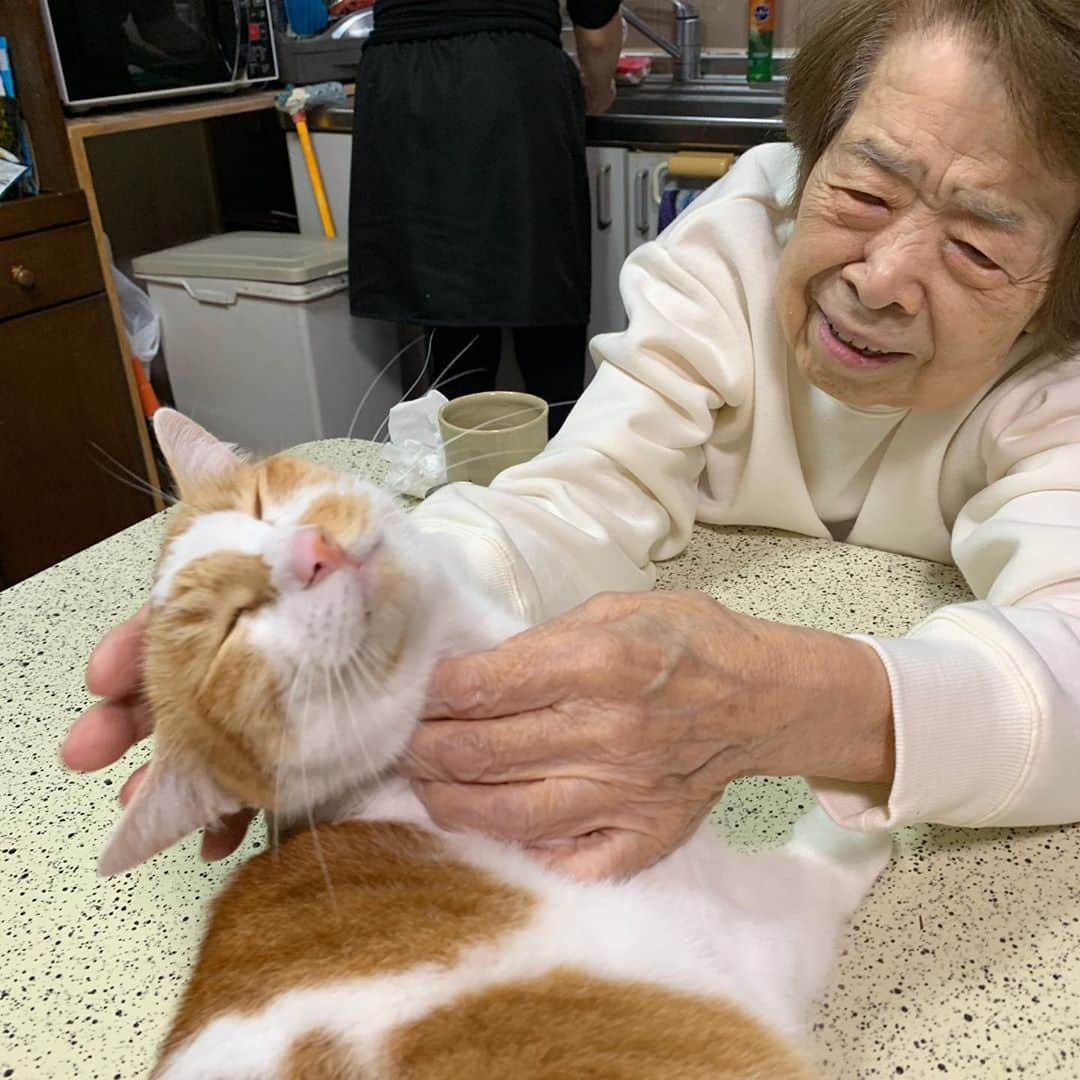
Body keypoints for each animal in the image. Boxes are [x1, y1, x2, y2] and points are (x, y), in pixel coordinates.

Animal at [97, 406, 889, 1080]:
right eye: (230, 629)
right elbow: (830, 857)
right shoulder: (764, 925)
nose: (310, 552)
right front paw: (869, 809)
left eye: (261, 503)